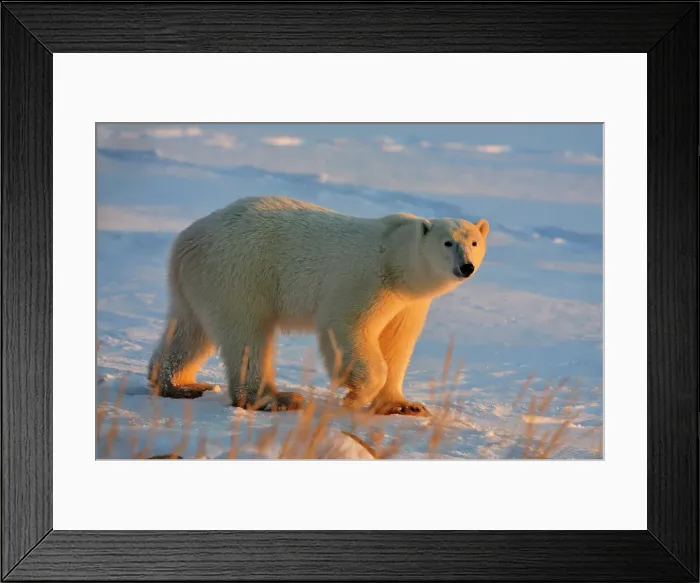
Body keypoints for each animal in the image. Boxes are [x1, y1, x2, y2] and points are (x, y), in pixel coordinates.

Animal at [148, 196, 489, 416]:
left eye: (474, 242)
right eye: (448, 242)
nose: (466, 267)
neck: (396, 258)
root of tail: (186, 240)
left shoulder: (408, 303)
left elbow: (397, 342)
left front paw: (405, 405)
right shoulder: (364, 280)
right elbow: (347, 327)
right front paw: (354, 397)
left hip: (199, 283)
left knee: (189, 330)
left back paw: (178, 384)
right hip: (241, 271)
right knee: (247, 334)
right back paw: (276, 399)